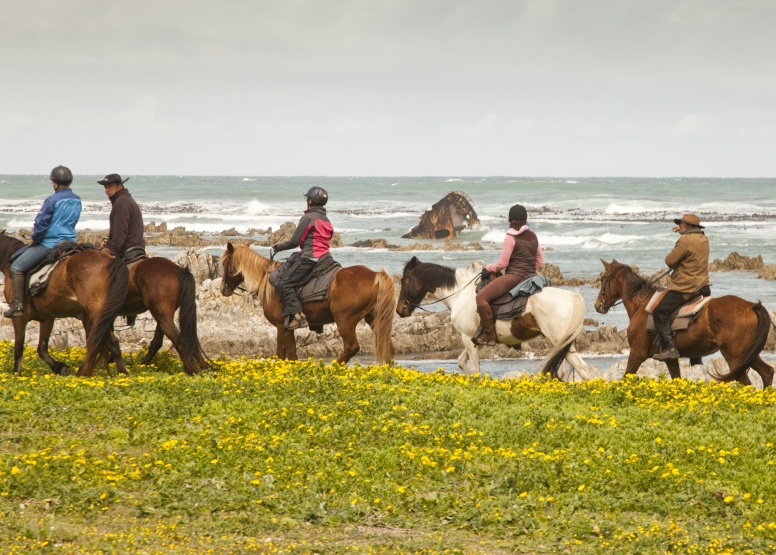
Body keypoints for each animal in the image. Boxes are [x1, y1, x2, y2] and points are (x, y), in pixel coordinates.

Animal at [0, 235, 129, 378]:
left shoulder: (19, 318)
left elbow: (19, 347)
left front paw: (16, 373)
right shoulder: (46, 318)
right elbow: (42, 348)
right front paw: (60, 367)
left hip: (96, 313)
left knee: (103, 342)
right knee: (107, 342)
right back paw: (121, 373)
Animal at [221, 243, 398, 364]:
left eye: (224, 264)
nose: (223, 289)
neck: (268, 281)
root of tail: (375, 275)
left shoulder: (283, 327)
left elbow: (291, 355)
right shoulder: (281, 327)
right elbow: (281, 354)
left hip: (344, 321)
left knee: (351, 347)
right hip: (373, 318)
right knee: (387, 346)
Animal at [394, 258, 596, 380]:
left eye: (403, 281)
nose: (399, 310)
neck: (459, 293)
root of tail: (573, 298)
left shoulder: (467, 338)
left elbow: (475, 370)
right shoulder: (476, 340)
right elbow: (461, 361)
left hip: (561, 342)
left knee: (583, 370)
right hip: (563, 344)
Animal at [596, 260, 768, 386]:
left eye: (603, 280)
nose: (597, 305)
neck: (642, 305)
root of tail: (752, 306)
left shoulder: (637, 353)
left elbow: (625, 377)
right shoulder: (670, 359)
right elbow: (676, 379)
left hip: (734, 357)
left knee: (747, 383)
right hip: (748, 354)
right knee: (767, 373)